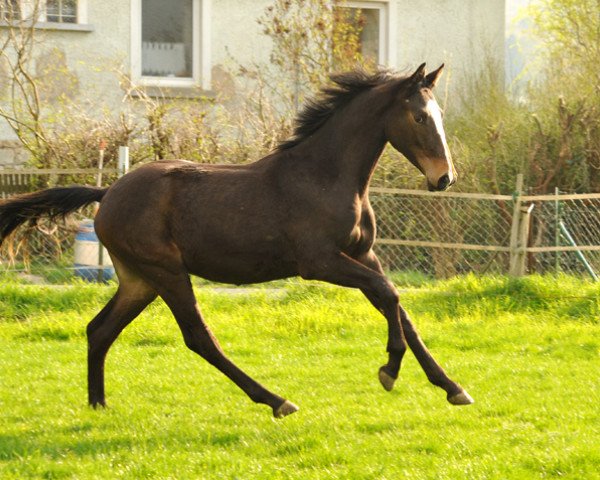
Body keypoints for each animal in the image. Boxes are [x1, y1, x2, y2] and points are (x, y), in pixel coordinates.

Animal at [0, 62, 474, 416]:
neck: (326, 177)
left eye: (439, 116)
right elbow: (390, 295)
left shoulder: (363, 254)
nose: (444, 178)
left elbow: (399, 308)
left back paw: (98, 404)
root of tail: (107, 193)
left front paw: (452, 387)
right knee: (198, 337)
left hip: (139, 280)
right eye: (419, 116)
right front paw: (389, 370)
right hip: (166, 272)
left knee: (99, 330)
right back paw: (276, 401)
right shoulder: (319, 262)